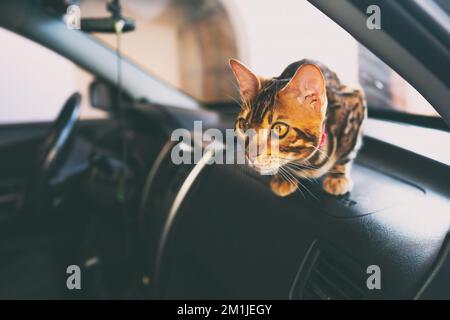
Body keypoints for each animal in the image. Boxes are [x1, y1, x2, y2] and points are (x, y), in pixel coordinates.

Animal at [229, 58, 366, 196]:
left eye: (279, 128)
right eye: (244, 125)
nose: (249, 155)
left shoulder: (355, 99)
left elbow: (347, 152)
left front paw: (338, 177)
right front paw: (283, 178)